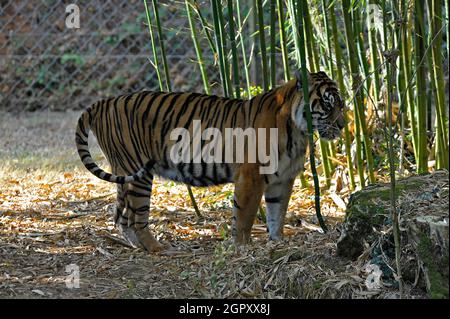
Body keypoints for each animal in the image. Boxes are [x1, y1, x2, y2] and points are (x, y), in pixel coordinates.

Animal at [76, 71, 344, 254]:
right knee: (136, 216)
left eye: (341, 105)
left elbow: (277, 213)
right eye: (328, 104)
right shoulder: (252, 176)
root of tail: (104, 102)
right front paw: (243, 247)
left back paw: (136, 246)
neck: (298, 131)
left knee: (120, 214)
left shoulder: (284, 178)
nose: (343, 125)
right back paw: (157, 248)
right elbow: (245, 215)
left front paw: (277, 243)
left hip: (124, 171)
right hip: (138, 172)